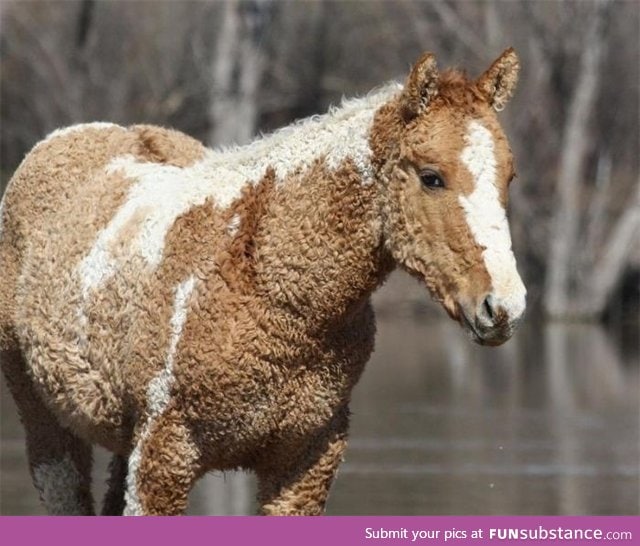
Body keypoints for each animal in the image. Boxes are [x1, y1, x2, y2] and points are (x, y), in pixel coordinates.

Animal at [1, 49, 524, 512]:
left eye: (509, 178)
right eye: (432, 177)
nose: (503, 307)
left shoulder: (305, 462)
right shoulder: (163, 458)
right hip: (48, 426)